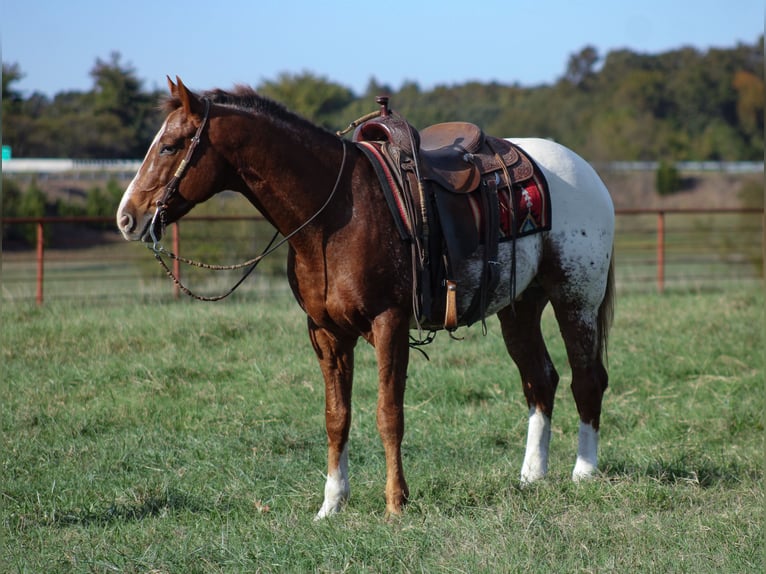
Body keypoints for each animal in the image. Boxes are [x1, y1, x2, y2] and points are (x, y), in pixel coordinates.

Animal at [116, 77, 615, 519]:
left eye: (169, 146)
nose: (126, 217)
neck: (335, 213)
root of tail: (586, 172)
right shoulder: (326, 332)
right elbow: (337, 417)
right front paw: (331, 504)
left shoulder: (388, 322)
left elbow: (388, 413)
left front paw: (396, 503)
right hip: (520, 305)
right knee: (540, 380)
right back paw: (532, 476)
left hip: (576, 296)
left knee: (586, 378)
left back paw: (584, 472)